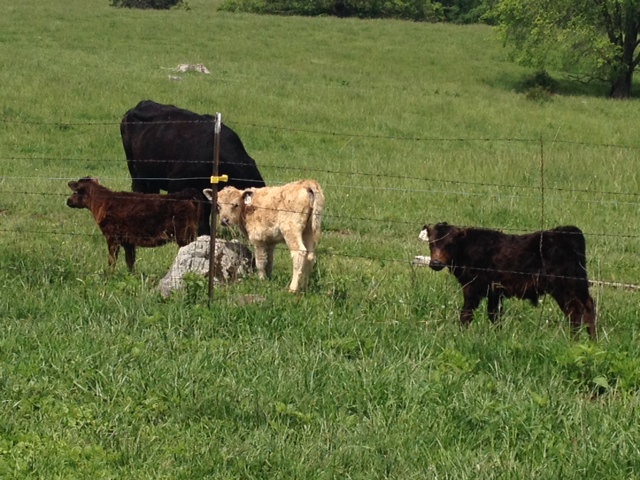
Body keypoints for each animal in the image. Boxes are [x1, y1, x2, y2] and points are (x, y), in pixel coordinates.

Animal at [67, 177, 201, 272]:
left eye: (75, 191)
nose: (67, 201)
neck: (103, 203)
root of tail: (184, 196)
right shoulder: (128, 242)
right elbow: (130, 262)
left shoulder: (112, 238)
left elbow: (112, 260)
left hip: (185, 236)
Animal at [420, 223, 597, 339]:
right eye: (431, 243)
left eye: (450, 244)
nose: (435, 263)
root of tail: (568, 231)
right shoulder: (494, 292)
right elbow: (495, 316)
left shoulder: (472, 288)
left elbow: (466, 315)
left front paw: (460, 336)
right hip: (577, 285)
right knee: (587, 307)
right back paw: (591, 342)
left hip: (563, 286)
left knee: (576, 311)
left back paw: (574, 341)